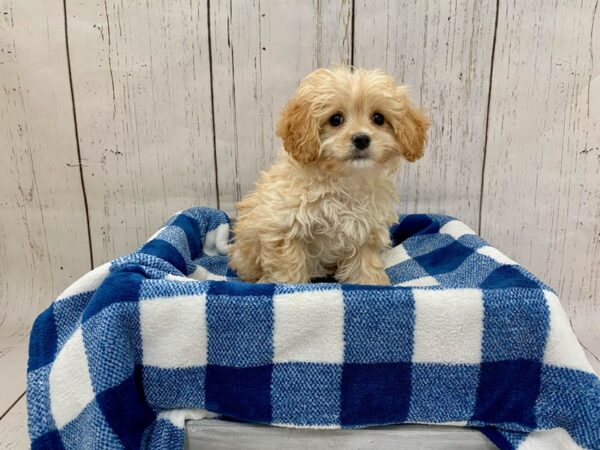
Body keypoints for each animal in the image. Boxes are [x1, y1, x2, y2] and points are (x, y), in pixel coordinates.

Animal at [227, 66, 428, 284]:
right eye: (335, 120)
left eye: (378, 118)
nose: (361, 139)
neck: (343, 181)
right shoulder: (284, 228)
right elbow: (289, 268)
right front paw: (288, 287)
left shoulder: (364, 231)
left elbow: (365, 264)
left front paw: (371, 284)